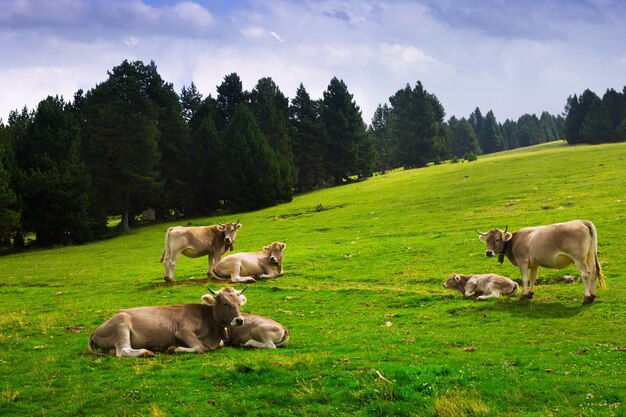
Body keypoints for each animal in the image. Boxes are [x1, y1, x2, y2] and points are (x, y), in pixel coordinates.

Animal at [88, 286, 249, 358]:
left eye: (239, 304)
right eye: (225, 303)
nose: (239, 320)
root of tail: (95, 331)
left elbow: (218, 344)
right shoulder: (182, 331)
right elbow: (199, 347)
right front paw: (173, 348)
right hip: (121, 323)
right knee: (123, 351)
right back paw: (147, 352)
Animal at [476, 219, 604, 304]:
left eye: (497, 239)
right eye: (487, 240)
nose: (488, 252)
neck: (515, 240)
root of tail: (583, 222)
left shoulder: (522, 261)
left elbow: (525, 279)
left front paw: (523, 295)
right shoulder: (534, 264)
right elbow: (533, 278)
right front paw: (530, 294)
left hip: (579, 258)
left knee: (585, 274)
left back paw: (587, 297)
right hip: (590, 255)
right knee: (593, 272)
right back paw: (593, 295)